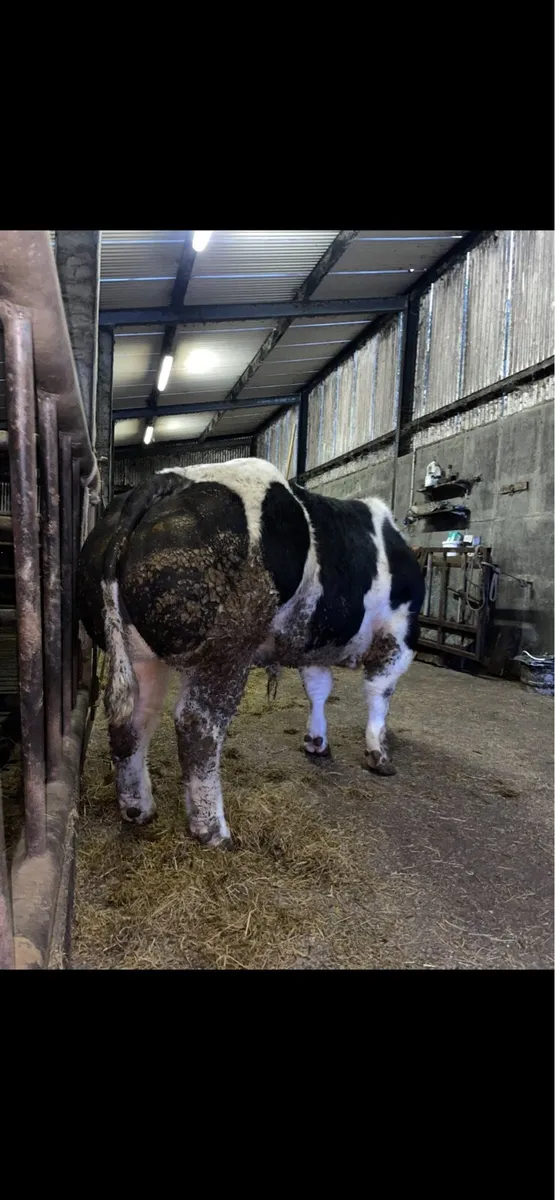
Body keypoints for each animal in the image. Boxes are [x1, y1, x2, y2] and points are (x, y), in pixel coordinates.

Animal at [77, 458, 424, 848]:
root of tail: (170, 479)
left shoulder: (312, 641)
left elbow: (318, 688)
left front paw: (316, 741)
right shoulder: (399, 632)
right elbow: (379, 693)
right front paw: (378, 755)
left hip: (140, 653)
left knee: (134, 719)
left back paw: (139, 809)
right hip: (226, 649)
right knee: (198, 724)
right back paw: (213, 830)